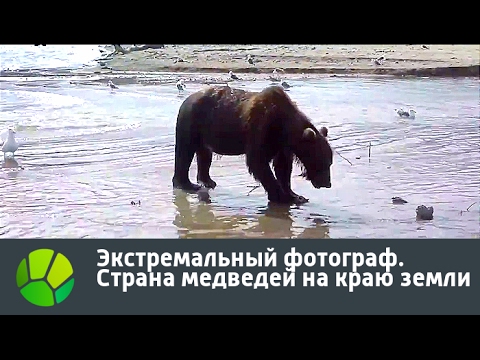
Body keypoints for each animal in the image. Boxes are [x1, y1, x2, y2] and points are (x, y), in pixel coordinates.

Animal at [172, 83, 334, 204]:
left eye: (329, 162)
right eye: (323, 162)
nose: (327, 183)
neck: (283, 127)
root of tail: (186, 99)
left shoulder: (281, 145)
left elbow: (283, 167)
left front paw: (295, 196)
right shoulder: (260, 129)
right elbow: (258, 162)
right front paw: (280, 196)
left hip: (205, 132)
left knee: (205, 154)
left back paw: (208, 181)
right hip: (192, 122)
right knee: (185, 152)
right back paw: (188, 185)